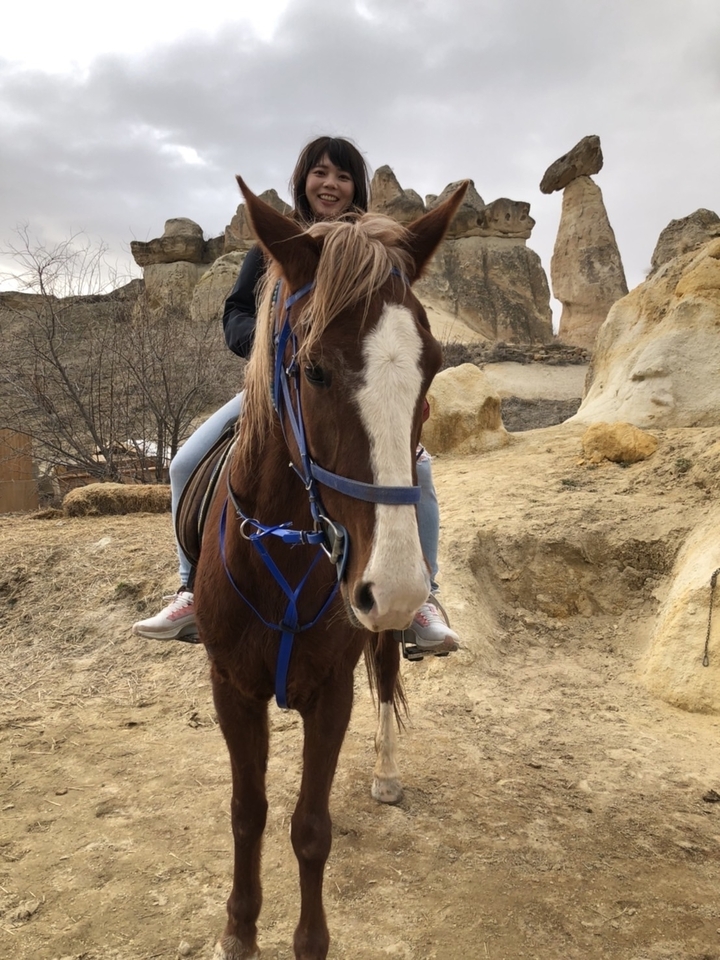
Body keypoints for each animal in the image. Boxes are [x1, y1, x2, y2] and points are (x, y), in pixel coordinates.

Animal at [194, 176, 468, 960]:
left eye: (431, 366)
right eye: (312, 369)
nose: (395, 587)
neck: (286, 545)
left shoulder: (330, 691)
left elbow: (311, 829)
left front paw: (308, 940)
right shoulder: (232, 688)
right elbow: (248, 811)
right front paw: (239, 930)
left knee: (387, 676)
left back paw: (384, 772)